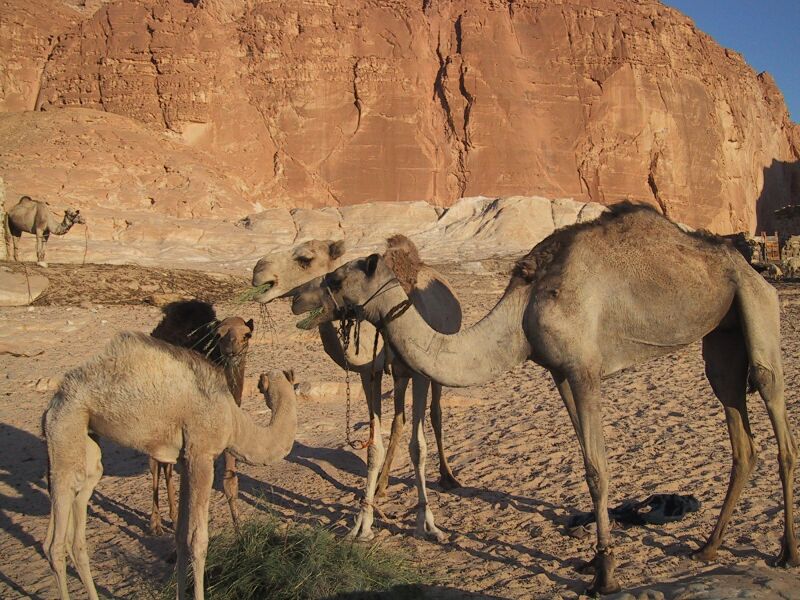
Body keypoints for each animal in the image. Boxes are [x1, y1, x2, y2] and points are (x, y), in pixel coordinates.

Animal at [43, 332, 297, 600]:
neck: (234, 421)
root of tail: (53, 402)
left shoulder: (186, 461)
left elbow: (181, 537)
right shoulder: (202, 455)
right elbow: (198, 540)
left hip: (85, 442)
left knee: (75, 530)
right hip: (65, 427)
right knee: (55, 545)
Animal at [149, 300, 255, 534]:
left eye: (247, 334)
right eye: (219, 335)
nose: (231, 352)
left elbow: (230, 480)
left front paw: (240, 530)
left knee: (166, 467)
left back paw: (171, 518)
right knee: (155, 466)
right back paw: (157, 523)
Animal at [251, 236, 462, 541]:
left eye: (305, 259)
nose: (259, 270)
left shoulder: (419, 373)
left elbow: (419, 447)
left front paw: (427, 522)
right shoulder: (370, 374)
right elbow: (373, 446)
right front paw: (363, 523)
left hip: (435, 366)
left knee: (435, 413)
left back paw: (448, 476)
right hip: (399, 376)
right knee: (399, 419)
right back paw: (382, 485)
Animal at [291, 203, 798, 594]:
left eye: (336, 278)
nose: (296, 297)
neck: (523, 312)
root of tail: (749, 266)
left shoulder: (585, 370)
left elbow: (597, 469)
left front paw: (604, 574)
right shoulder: (559, 374)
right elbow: (587, 461)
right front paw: (594, 561)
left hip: (756, 304)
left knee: (775, 409)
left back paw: (786, 552)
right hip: (722, 336)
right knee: (739, 427)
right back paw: (708, 547)